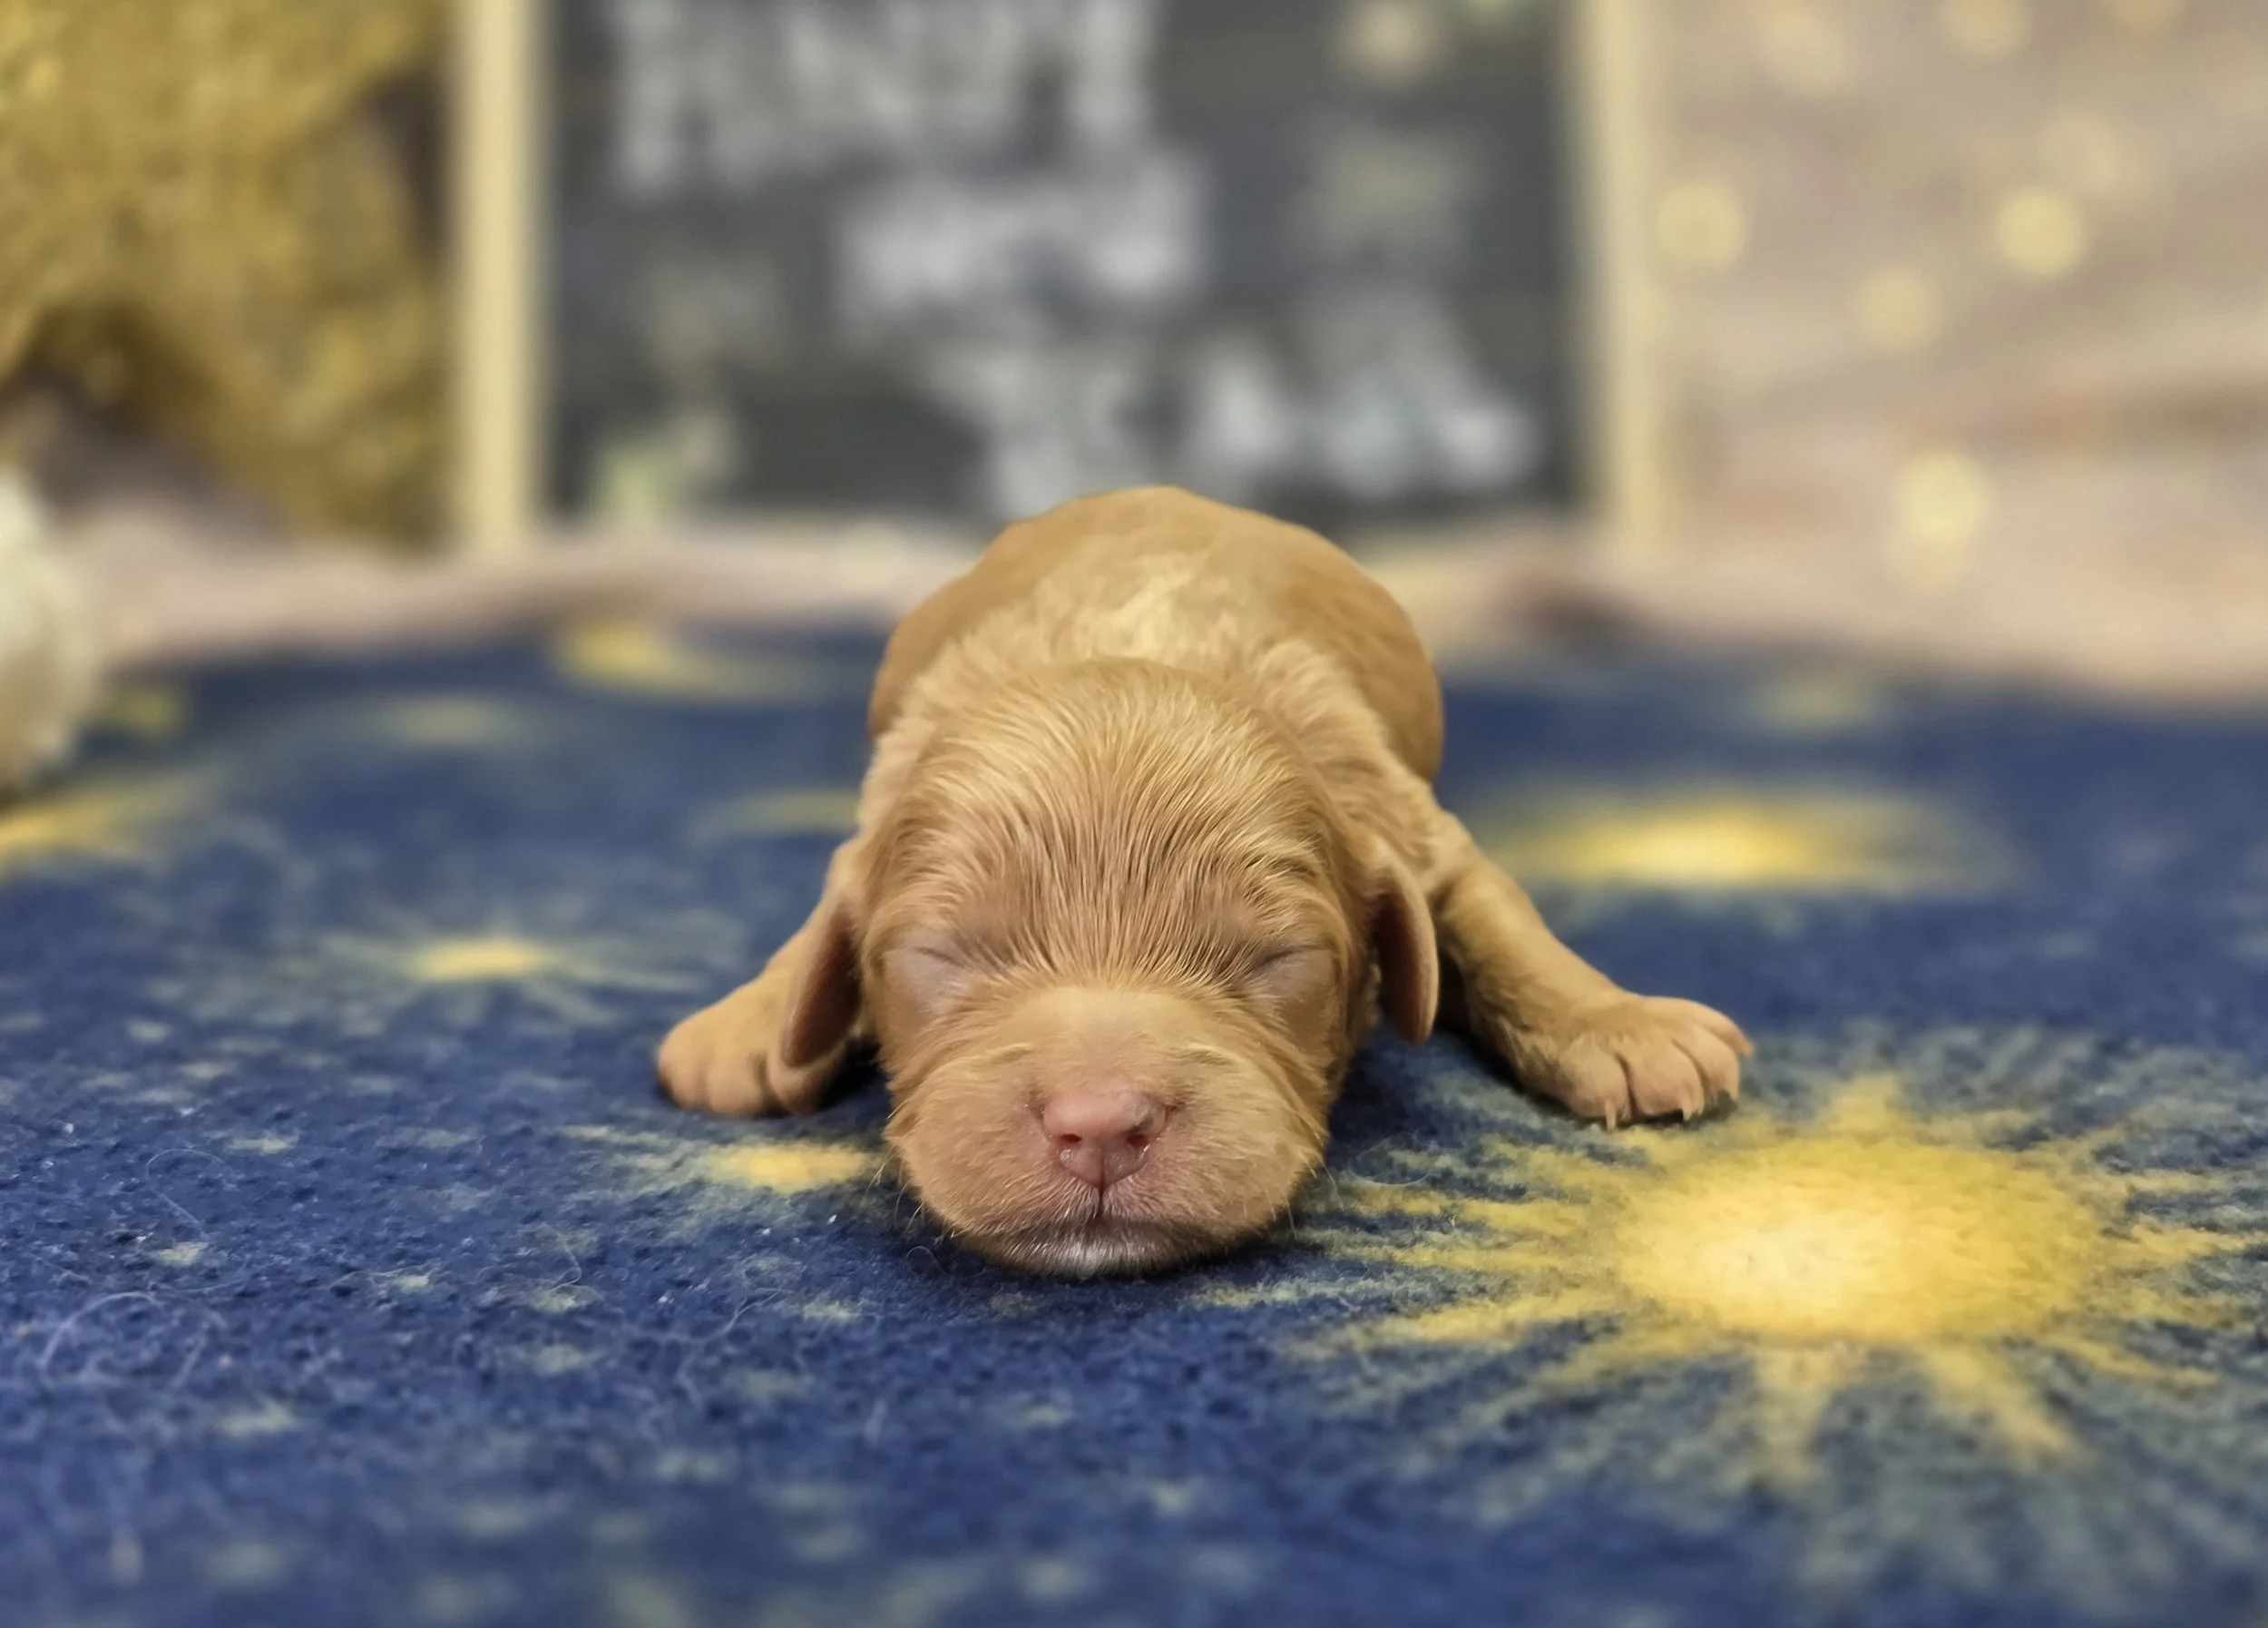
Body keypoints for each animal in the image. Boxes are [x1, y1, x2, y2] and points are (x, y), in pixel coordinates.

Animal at [659, 489, 1748, 1275]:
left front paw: (1622, 1026)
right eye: (938, 955)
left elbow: (1500, 923)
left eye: (1278, 959)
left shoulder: (1413, 826)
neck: (1139, 647)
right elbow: (823, 910)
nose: (1101, 1126)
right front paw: (750, 1024)